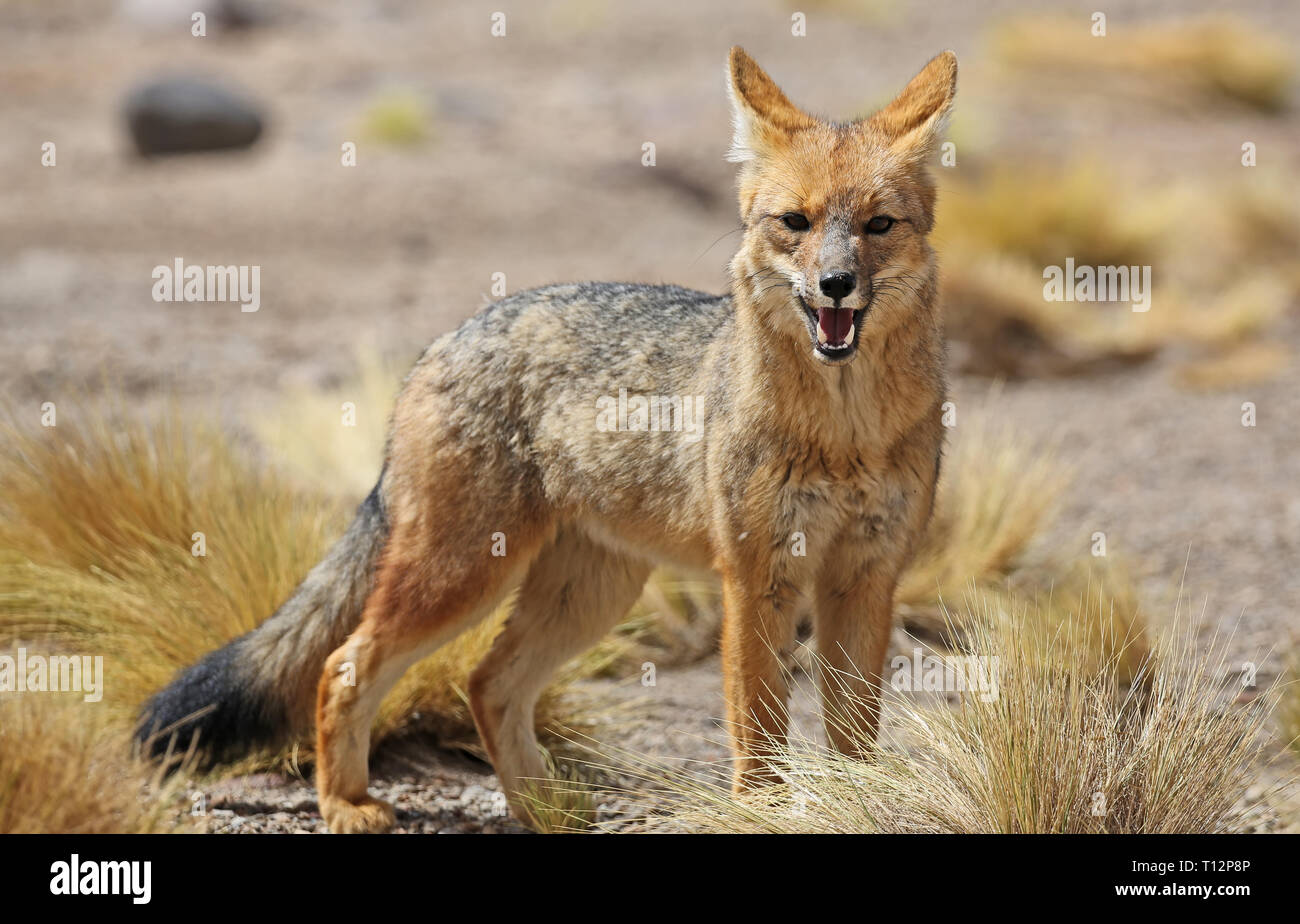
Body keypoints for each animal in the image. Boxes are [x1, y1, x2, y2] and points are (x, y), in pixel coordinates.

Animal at [139, 47, 956, 836]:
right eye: (795, 221)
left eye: (878, 225)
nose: (836, 284)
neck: (845, 433)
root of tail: (444, 341)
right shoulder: (758, 575)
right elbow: (757, 729)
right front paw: (761, 813)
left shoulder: (865, 575)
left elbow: (854, 730)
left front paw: (861, 801)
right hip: (462, 574)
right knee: (345, 664)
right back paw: (346, 804)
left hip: (587, 592)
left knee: (487, 682)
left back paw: (543, 808)